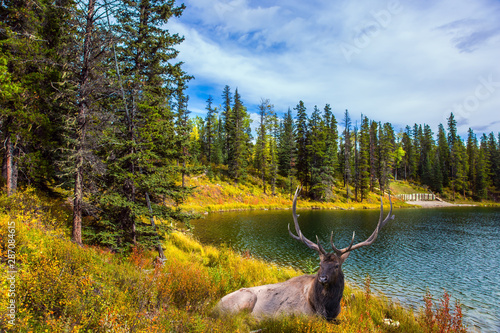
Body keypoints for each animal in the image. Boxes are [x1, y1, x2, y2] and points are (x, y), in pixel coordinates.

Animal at [216, 187, 394, 320]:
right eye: (320, 264)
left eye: (336, 265)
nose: (323, 278)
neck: (324, 308)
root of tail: (214, 306)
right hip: (245, 300)